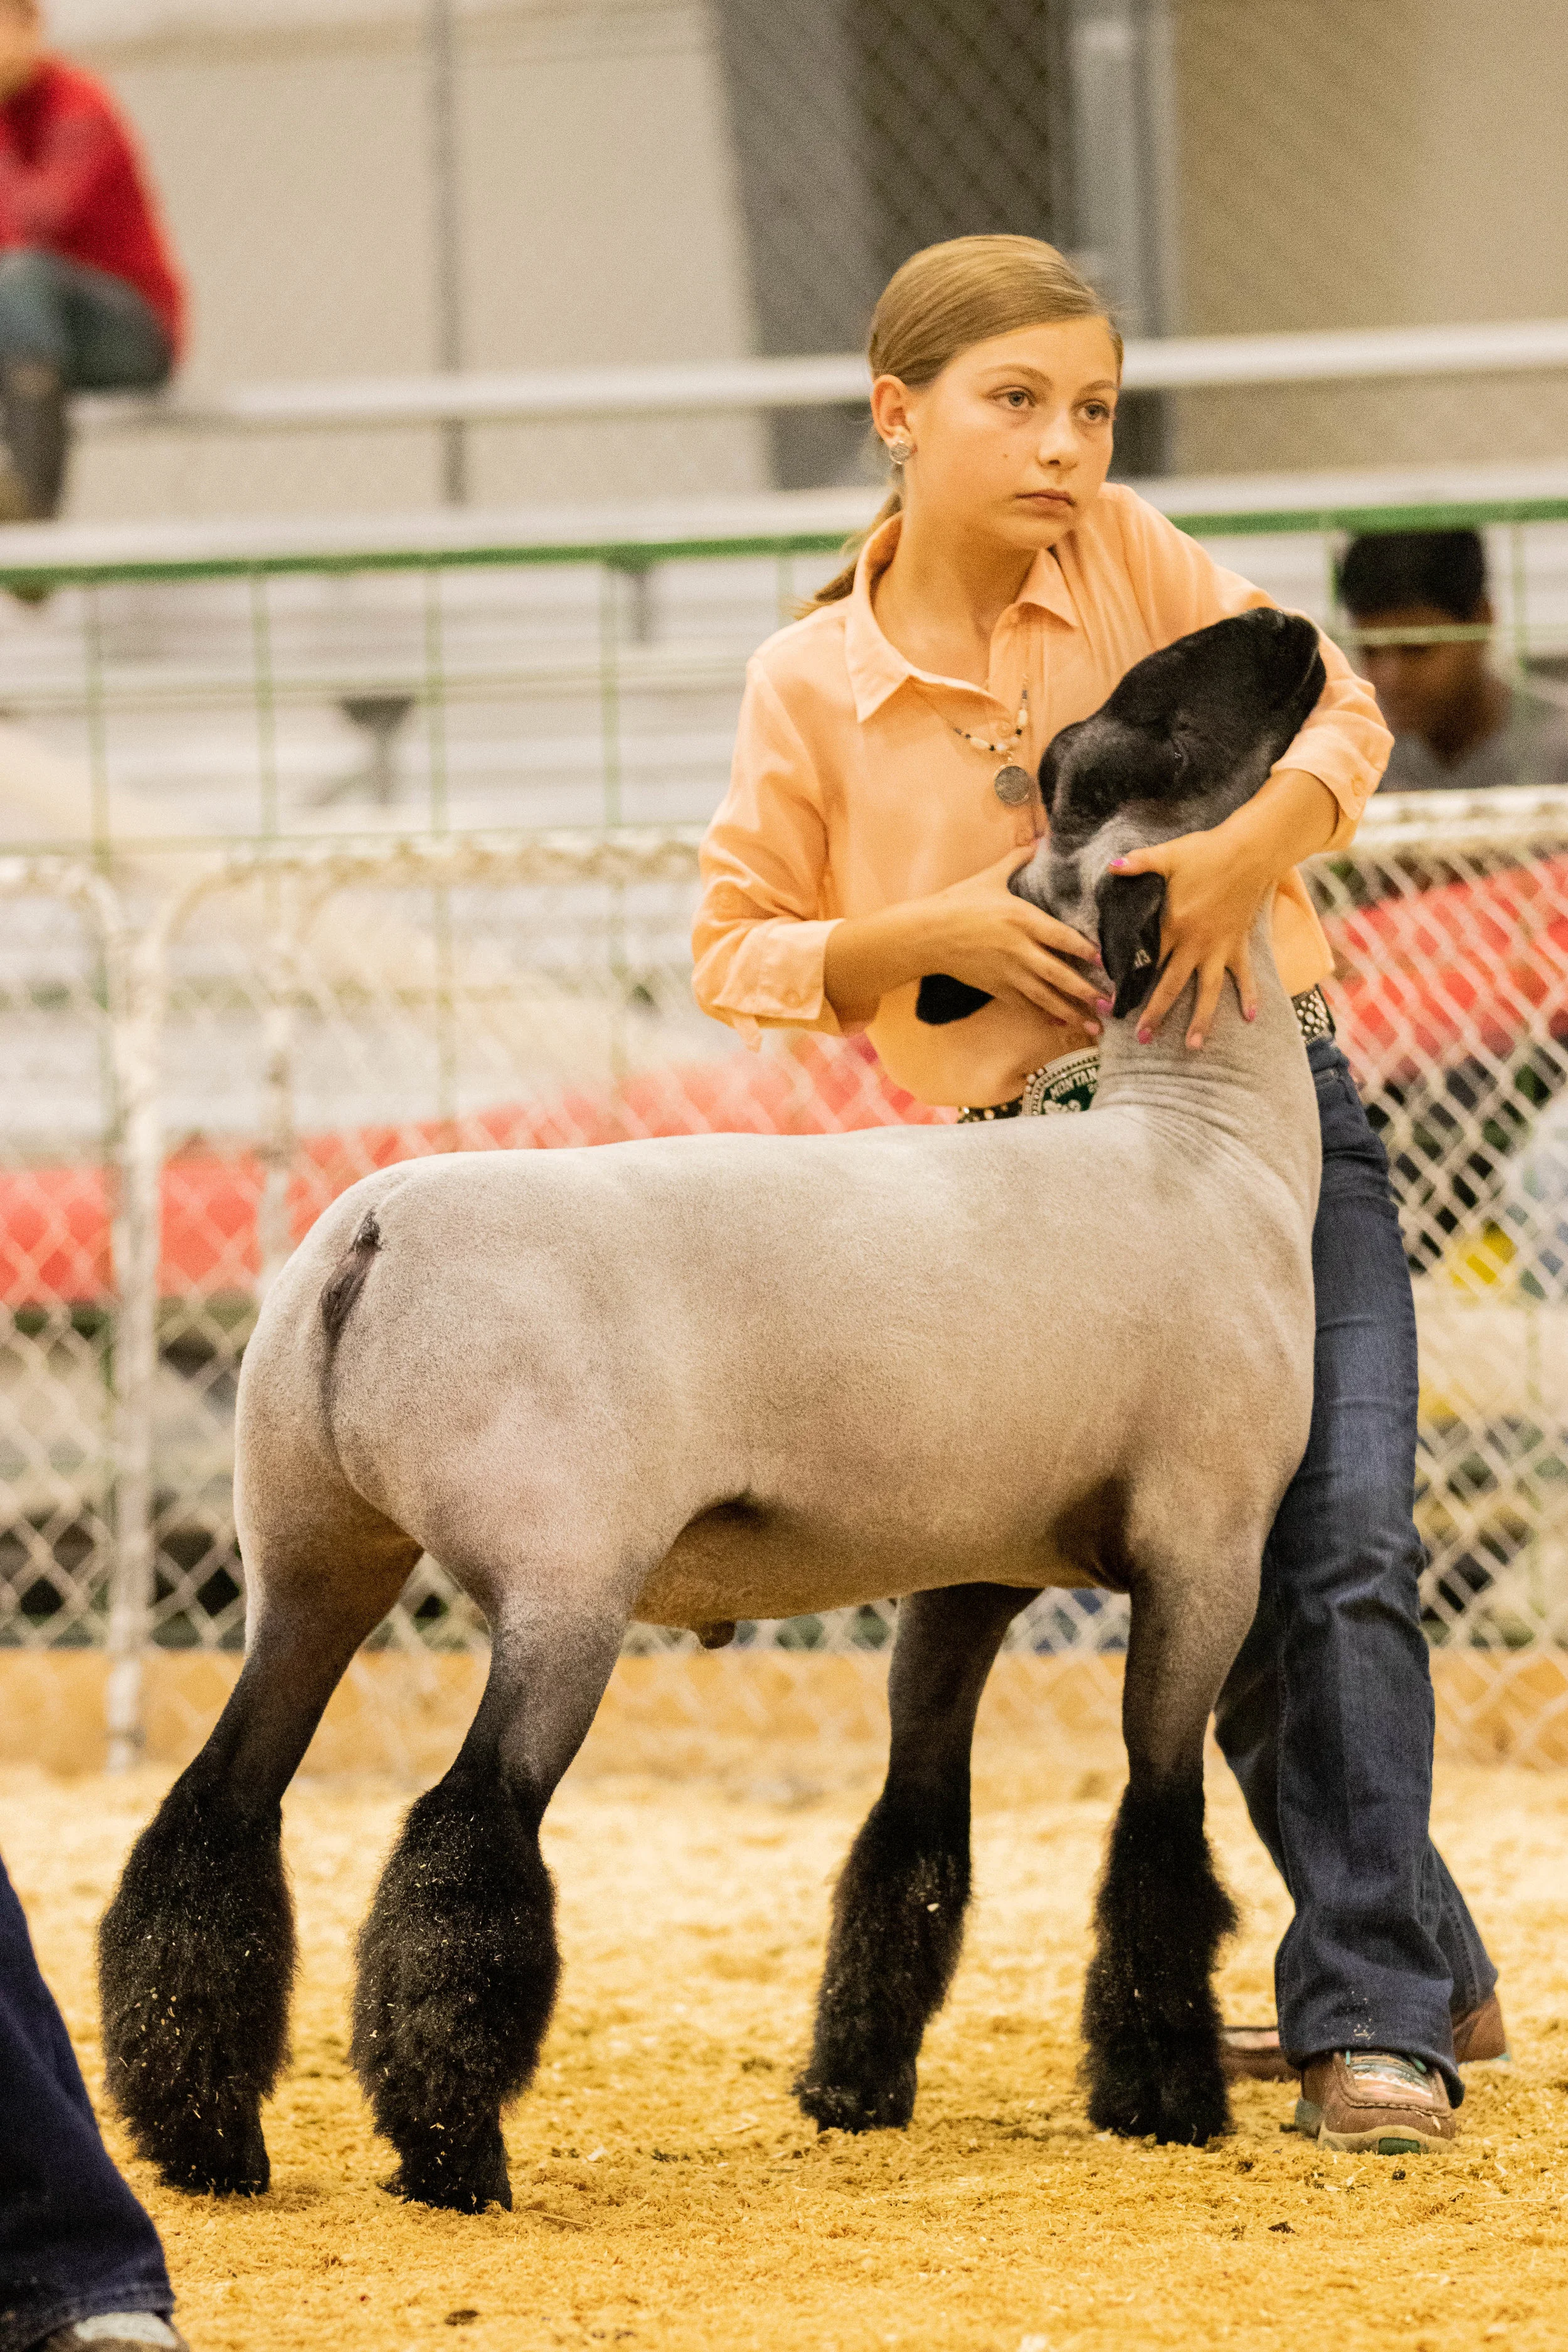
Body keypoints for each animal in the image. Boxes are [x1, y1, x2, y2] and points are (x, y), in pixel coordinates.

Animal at [97, 607, 1326, 2214]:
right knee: (465, 1835)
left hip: (309, 1552)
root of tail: (367, 1233)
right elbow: (1159, 1829)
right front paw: (1165, 2094)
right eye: (1146, 742)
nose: (1290, 631)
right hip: (560, 1576)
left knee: (216, 1817)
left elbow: (910, 1830)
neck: (1206, 1138)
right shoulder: (1205, 1545)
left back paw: (206, 2137)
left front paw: (855, 2087)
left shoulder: (970, 1567)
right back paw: (452, 2154)